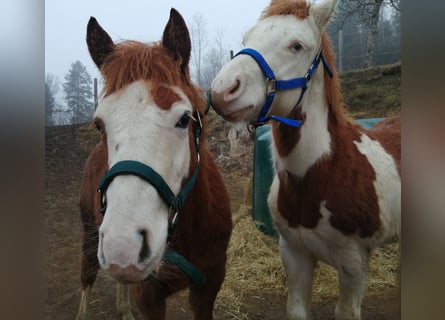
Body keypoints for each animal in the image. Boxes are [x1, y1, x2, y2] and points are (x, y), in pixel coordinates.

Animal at [75, 8, 232, 318]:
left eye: (184, 119)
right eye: (99, 125)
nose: (123, 247)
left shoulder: (209, 285)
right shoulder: (148, 295)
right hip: (89, 234)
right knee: (87, 277)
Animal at [210, 0, 400, 320]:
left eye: (297, 46)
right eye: (247, 39)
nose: (222, 91)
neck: (326, 172)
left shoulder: (354, 266)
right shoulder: (294, 255)